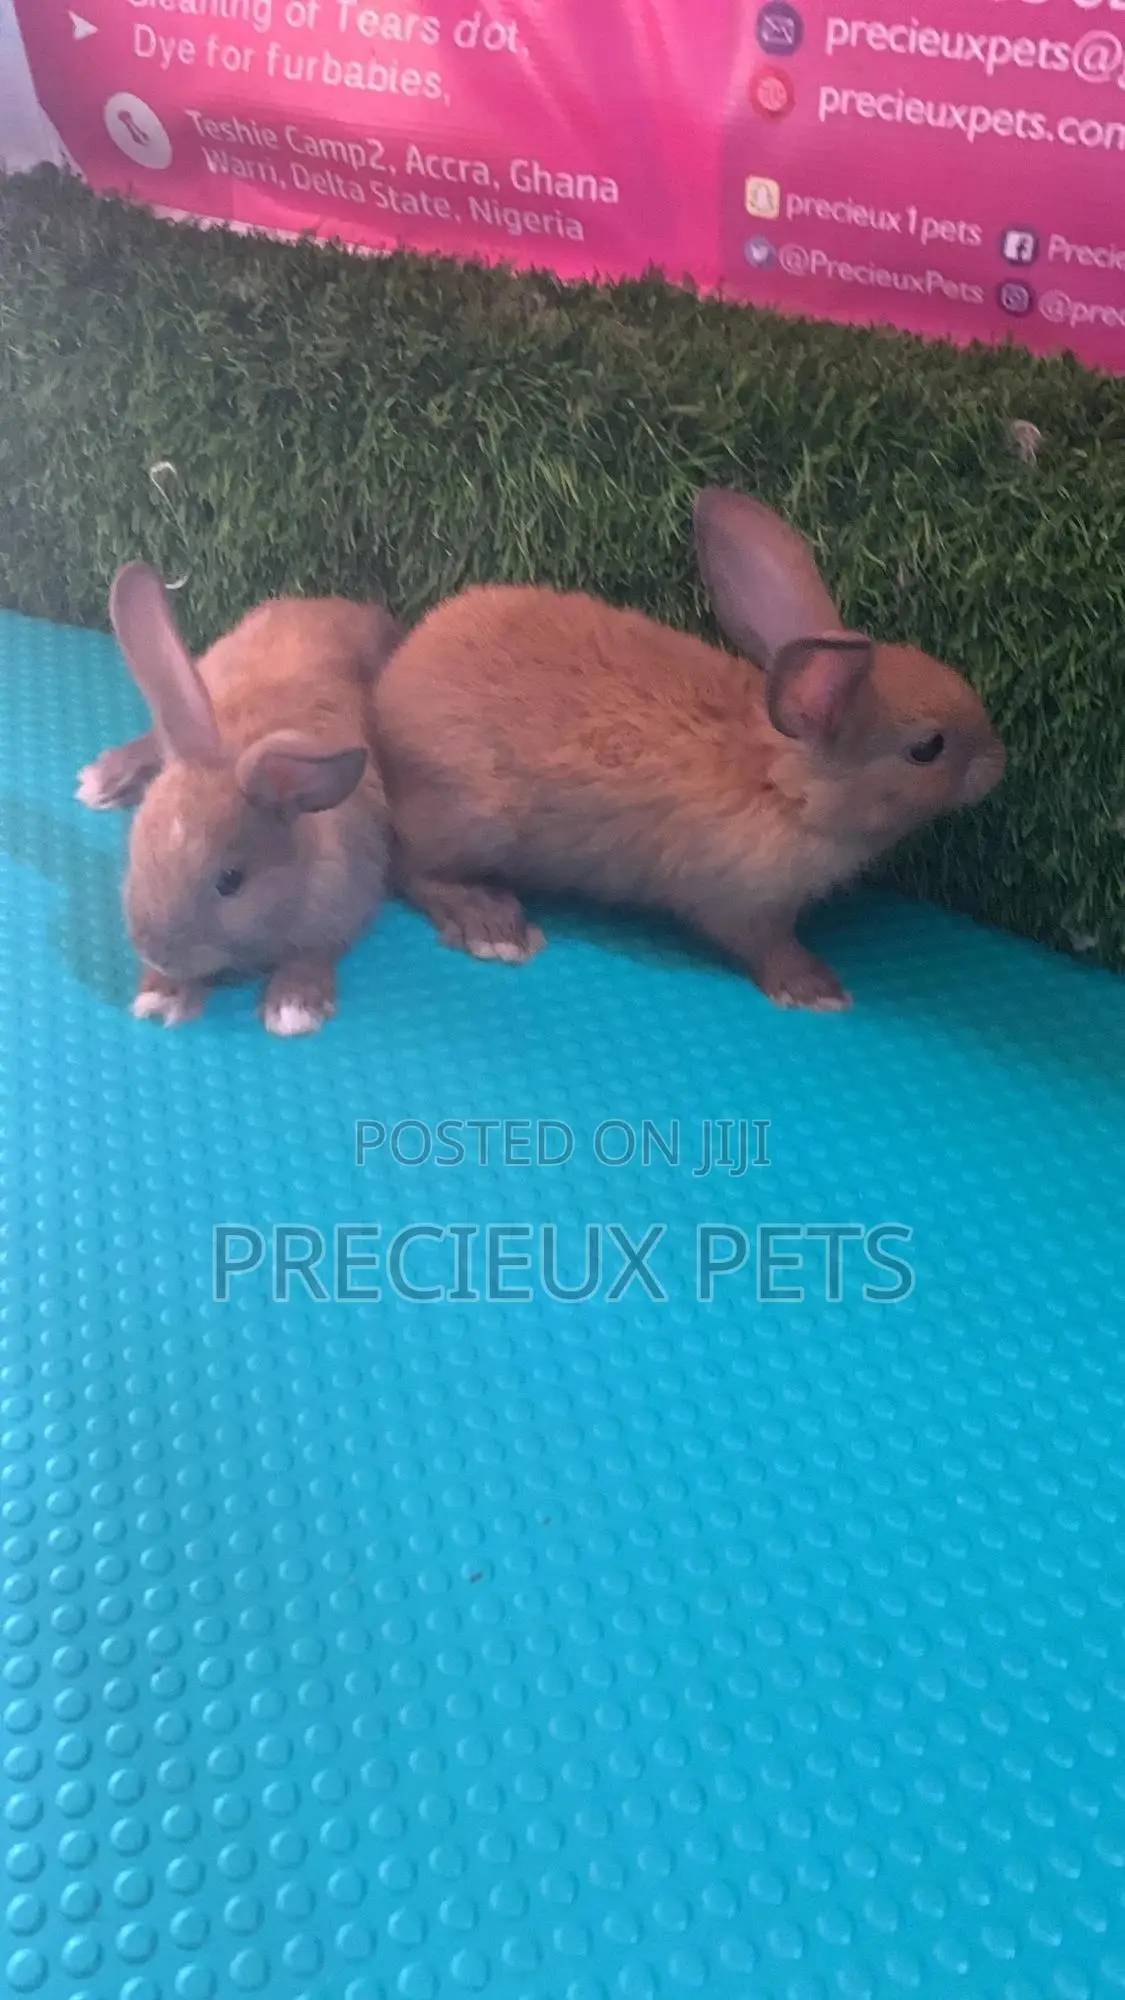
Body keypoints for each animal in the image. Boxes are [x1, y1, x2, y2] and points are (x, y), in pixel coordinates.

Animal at [77, 563, 400, 1033]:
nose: (154, 951)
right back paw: (103, 780)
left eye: (230, 881)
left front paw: (294, 1008)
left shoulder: (341, 910)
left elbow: (313, 955)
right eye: (138, 847)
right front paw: (162, 995)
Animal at [372, 487, 1005, 1010]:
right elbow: (766, 946)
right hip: (472, 820)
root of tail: (388, 701)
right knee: (411, 868)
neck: (783, 781)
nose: (999, 764)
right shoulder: (740, 903)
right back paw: (493, 925)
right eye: (928, 747)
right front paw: (815, 988)